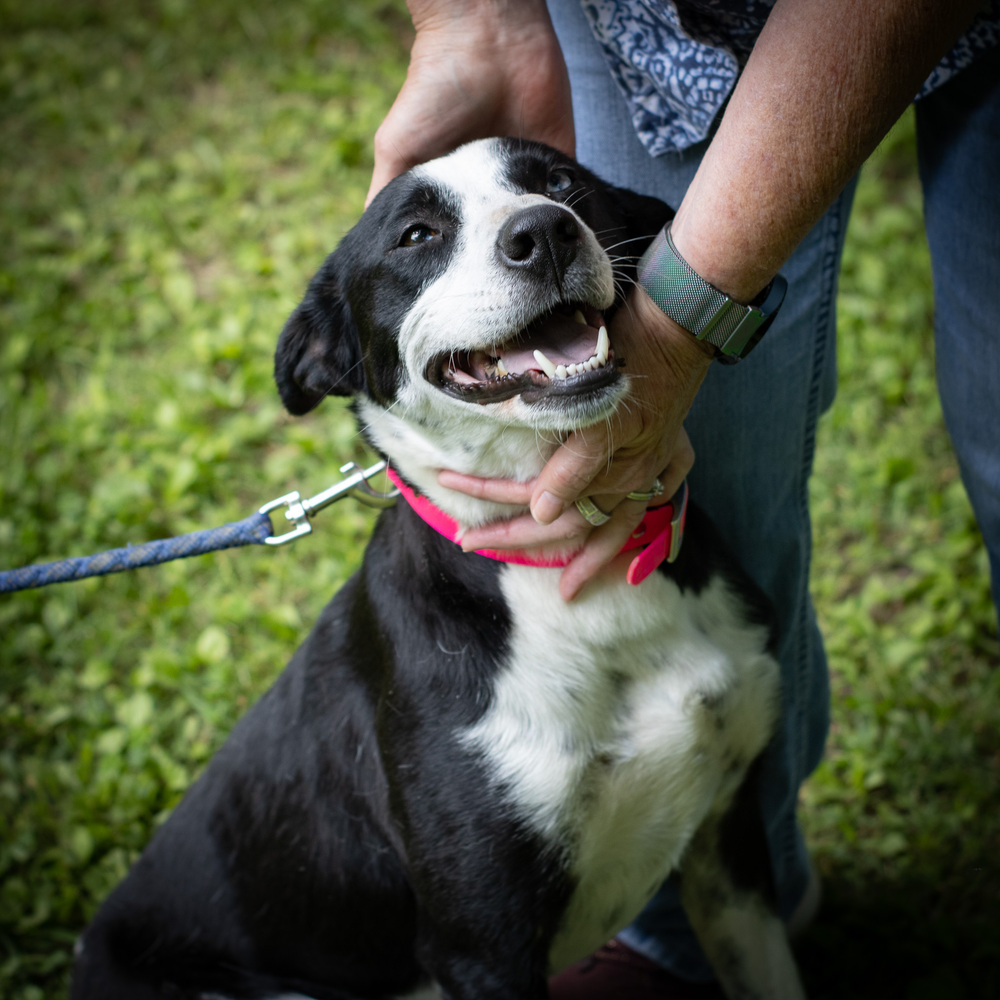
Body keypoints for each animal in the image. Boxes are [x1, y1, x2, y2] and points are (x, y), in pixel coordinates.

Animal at [70, 137, 804, 996]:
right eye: (415, 236)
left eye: (560, 181)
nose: (543, 232)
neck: (563, 570)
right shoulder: (482, 945)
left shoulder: (732, 853)